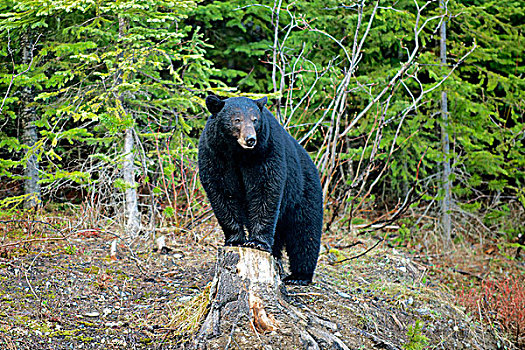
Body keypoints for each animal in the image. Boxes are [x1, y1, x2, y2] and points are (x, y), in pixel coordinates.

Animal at [198, 95, 324, 284]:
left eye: (255, 120)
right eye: (236, 120)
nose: (250, 139)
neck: (238, 153)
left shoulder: (266, 152)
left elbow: (265, 190)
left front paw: (256, 242)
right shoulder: (215, 156)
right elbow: (222, 193)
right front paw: (235, 239)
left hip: (303, 193)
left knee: (305, 232)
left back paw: (299, 276)